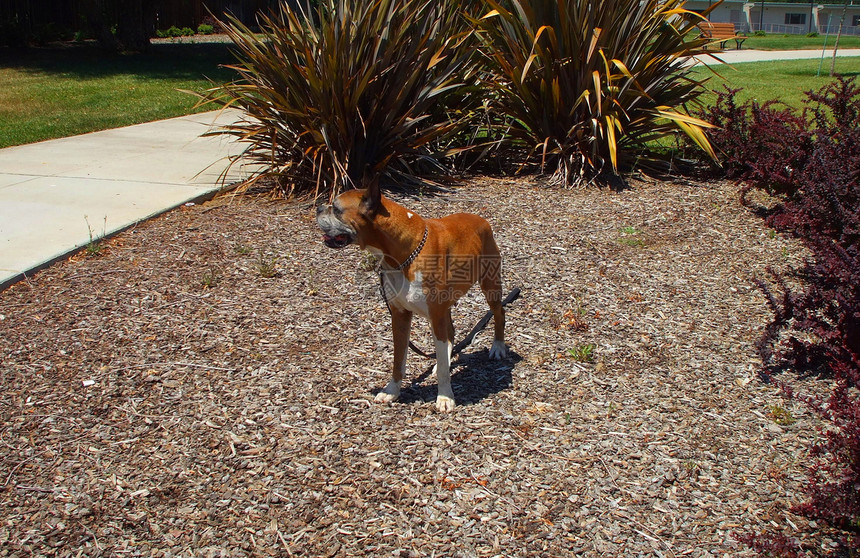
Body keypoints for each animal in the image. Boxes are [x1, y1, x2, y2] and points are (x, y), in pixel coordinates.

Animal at [314, 182, 504, 414]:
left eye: (336, 208)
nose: (318, 208)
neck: (404, 254)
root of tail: (482, 220)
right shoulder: (400, 317)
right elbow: (398, 360)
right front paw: (392, 391)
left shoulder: (435, 315)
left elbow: (442, 367)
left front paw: (445, 397)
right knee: (450, 333)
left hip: (490, 286)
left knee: (499, 312)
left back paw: (498, 347)